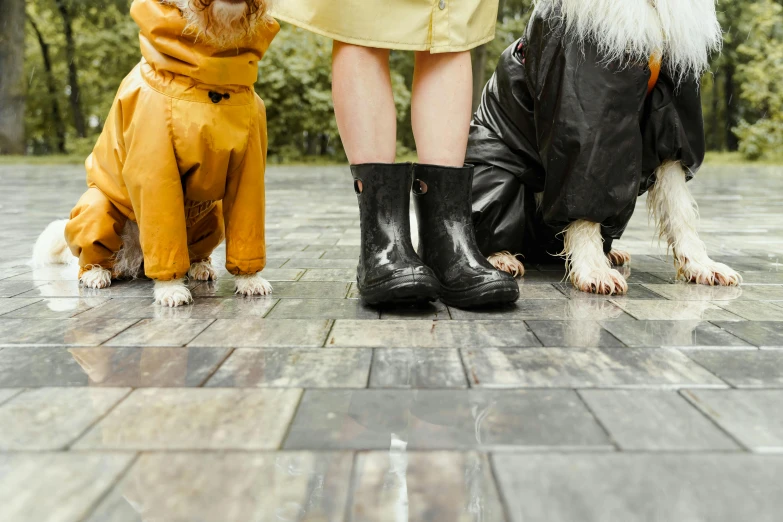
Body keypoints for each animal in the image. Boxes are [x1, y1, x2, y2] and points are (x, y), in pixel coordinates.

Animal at [36, 0, 282, 304]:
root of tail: (137, 261)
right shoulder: (156, 168)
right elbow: (165, 236)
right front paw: (171, 288)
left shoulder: (249, 170)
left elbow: (247, 230)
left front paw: (250, 279)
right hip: (97, 205)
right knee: (98, 255)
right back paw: (96, 273)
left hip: (212, 216)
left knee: (194, 253)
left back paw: (200, 267)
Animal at [468, 0, 744, 292]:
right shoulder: (586, 105)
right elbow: (584, 191)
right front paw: (594, 270)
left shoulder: (673, 108)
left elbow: (679, 207)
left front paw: (701, 265)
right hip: (496, 172)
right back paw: (501, 257)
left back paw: (611, 252)